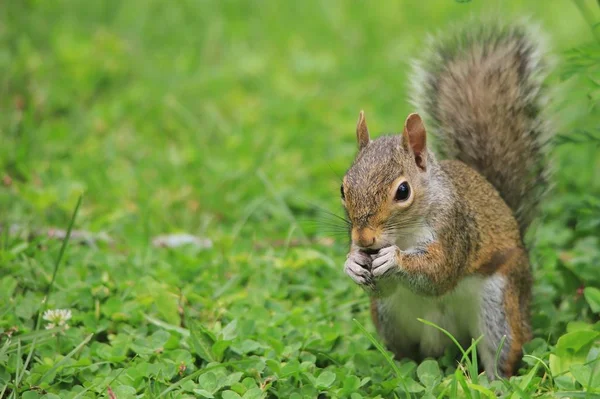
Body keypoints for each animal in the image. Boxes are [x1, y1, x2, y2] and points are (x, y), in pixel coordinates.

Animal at [340, 19, 552, 378]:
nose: (365, 240)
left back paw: (494, 381)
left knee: (501, 353)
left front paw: (394, 259)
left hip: (500, 306)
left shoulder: (456, 228)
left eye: (403, 191)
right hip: (391, 317)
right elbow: (382, 282)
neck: (405, 233)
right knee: (409, 352)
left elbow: (439, 272)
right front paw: (353, 262)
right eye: (343, 189)